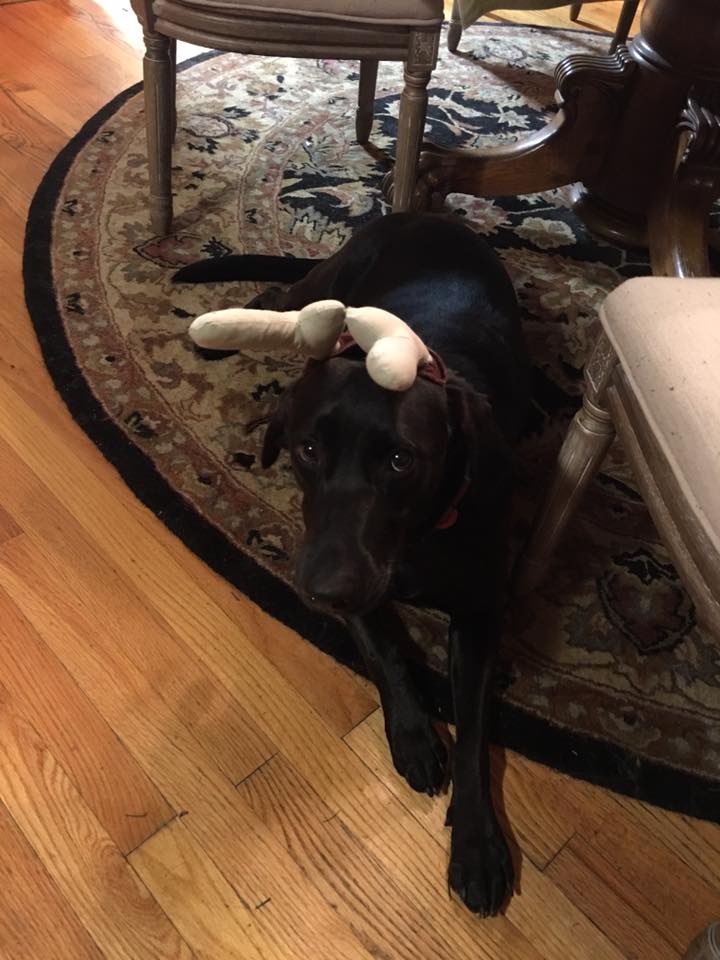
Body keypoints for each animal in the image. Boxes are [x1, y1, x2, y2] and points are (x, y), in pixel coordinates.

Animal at [177, 212, 530, 915]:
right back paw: (215, 335)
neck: (419, 537)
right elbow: (384, 648)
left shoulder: (480, 612)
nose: (324, 592)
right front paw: (415, 735)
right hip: (326, 286)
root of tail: (423, 213)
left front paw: (478, 842)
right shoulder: (338, 569)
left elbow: (477, 727)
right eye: (307, 449)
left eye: (401, 460)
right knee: (276, 301)